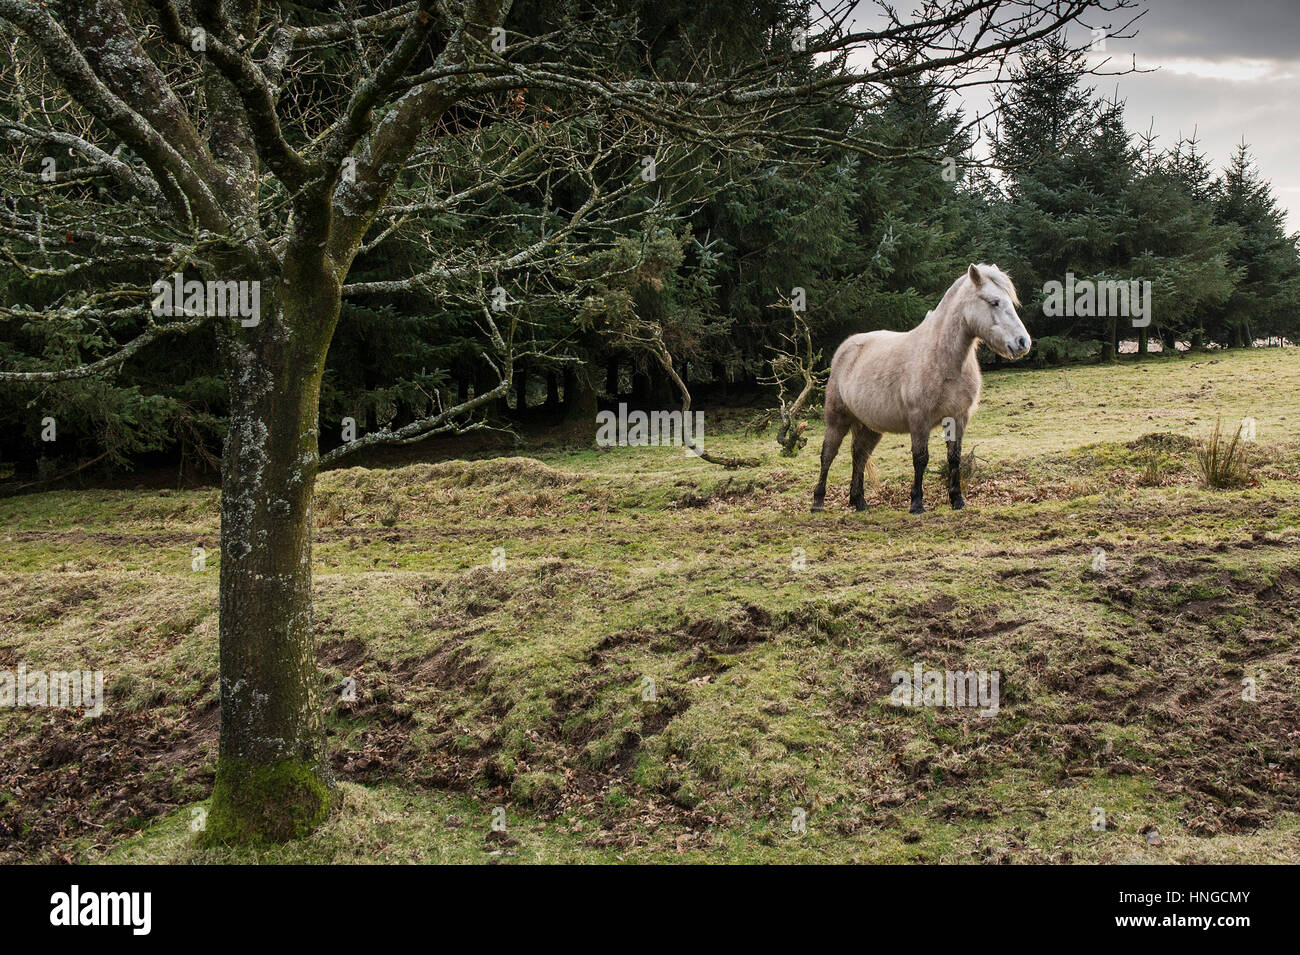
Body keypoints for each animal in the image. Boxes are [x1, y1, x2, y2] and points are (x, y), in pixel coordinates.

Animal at [811, 261, 1034, 514]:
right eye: (994, 301)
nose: (1023, 342)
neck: (943, 359)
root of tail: (847, 347)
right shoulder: (920, 419)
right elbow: (920, 458)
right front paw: (916, 503)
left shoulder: (958, 417)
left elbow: (954, 458)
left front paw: (957, 500)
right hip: (837, 419)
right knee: (828, 455)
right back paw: (818, 502)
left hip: (871, 426)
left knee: (859, 454)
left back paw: (859, 501)